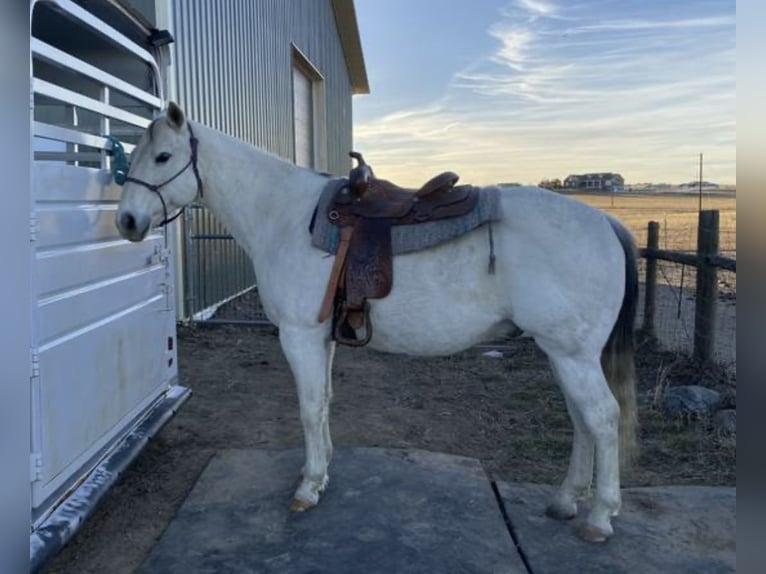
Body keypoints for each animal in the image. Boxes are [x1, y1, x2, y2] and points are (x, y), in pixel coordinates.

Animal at [115, 102, 639, 542]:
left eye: (163, 156)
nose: (126, 221)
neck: (284, 216)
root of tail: (606, 224)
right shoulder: (322, 338)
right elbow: (325, 402)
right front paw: (322, 471)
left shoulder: (299, 336)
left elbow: (309, 408)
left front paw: (308, 486)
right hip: (563, 353)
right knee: (580, 419)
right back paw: (566, 500)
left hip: (571, 354)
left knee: (601, 418)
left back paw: (599, 517)